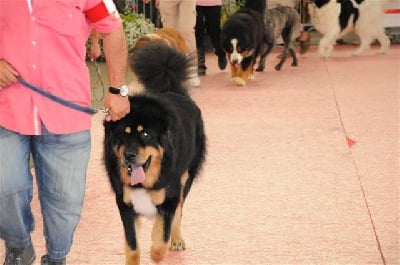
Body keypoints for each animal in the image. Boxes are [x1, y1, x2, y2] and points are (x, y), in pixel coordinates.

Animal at [103, 43, 206, 264]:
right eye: (122, 135)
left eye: (145, 134)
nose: (129, 155)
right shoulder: (125, 203)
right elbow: (132, 246)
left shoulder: (169, 198)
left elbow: (161, 241)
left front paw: (156, 249)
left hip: (186, 178)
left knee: (179, 212)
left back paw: (177, 240)